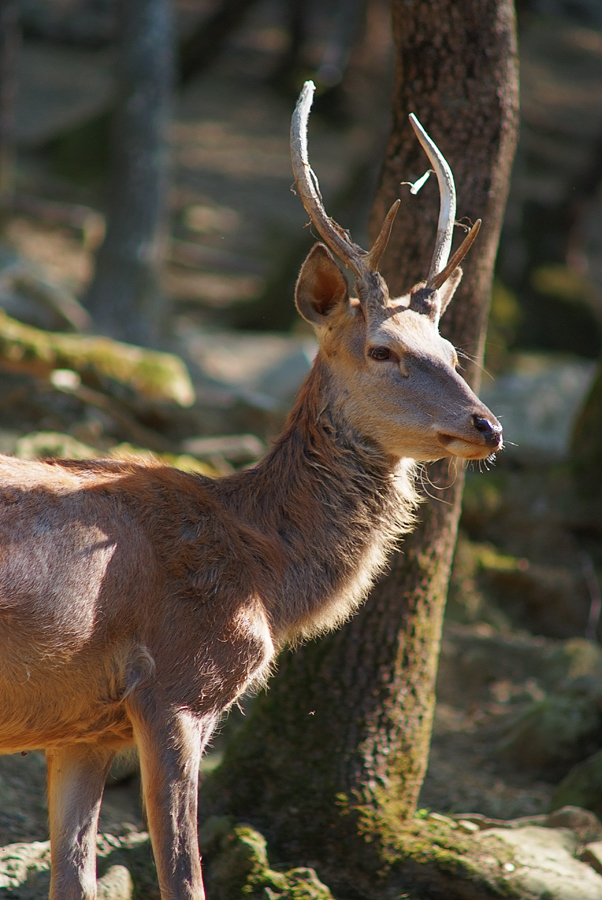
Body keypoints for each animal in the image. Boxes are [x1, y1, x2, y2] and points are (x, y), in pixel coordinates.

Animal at [0, 81, 501, 900]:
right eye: (382, 350)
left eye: (453, 350)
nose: (487, 426)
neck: (264, 575)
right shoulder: (175, 686)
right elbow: (185, 879)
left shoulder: (82, 727)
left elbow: (74, 879)